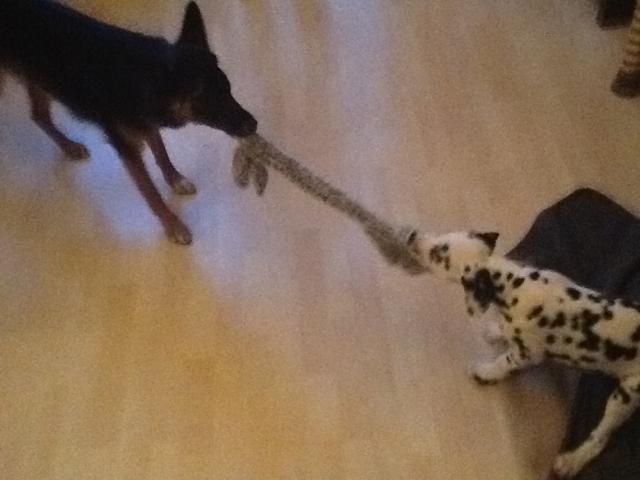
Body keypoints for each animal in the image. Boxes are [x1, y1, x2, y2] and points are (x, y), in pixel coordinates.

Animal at [0, 0, 257, 244]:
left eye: (228, 90)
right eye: (206, 100)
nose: (253, 124)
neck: (142, 79)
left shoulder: (145, 123)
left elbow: (161, 153)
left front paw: (175, 179)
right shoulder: (127, 146)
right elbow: (151, 192)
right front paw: (173, 225)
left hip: (39, 79)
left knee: (39, 116)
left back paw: (69, 146)